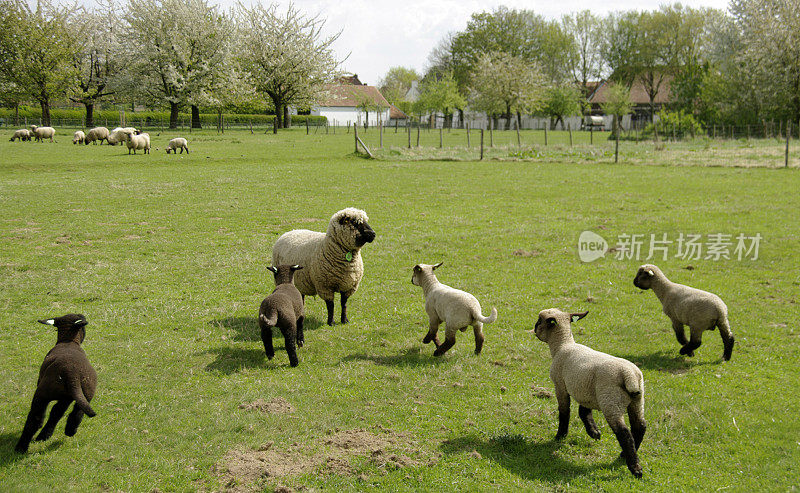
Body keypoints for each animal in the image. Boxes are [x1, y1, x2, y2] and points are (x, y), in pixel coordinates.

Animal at [14, 314, 97, 452]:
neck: (68, 341)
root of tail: (72, 375)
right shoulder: (67, 398)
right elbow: (58, 412)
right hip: (84, 392)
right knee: (73, 413)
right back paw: (66, 432)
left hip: (43, 392)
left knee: (36, 417)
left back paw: (21, 447)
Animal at [536, 308, 648, 476]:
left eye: (539, 320)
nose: (534, 329)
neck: (562, 345)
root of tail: (629, 375)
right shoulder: (586, 391)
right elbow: (584, 412)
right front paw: (594, 432)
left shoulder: (560, 386)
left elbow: (564, 412)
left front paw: (560, 436)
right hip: (637, 401)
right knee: (640, 426)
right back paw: (625, 455)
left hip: (610, 401)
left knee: (624, 432)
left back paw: (635, 468)